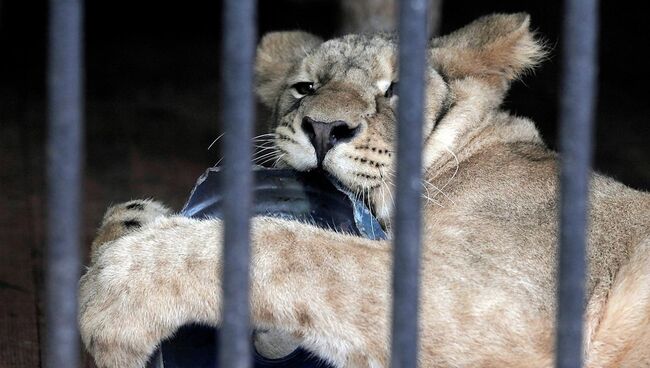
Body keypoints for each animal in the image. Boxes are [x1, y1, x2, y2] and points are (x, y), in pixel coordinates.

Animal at [79, 12, 648, 368]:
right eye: (304, 87)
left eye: (394, 90)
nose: (324, 128)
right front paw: (129, 222)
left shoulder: (503, 303)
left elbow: (297, 248)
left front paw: (116, 286)